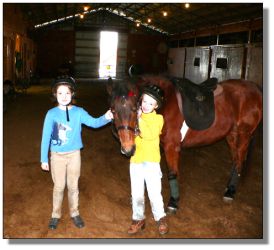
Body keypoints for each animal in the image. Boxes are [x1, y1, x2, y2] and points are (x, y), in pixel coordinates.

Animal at [106, 75, 262, 213]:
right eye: (113, 110)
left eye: (134, 109)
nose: (128, 149)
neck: (165, 103)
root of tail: (255, 88)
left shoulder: (171, 146)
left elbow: (173, 173)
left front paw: (173, 202)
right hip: (231, 135)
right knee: (236, 160)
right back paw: (230, 188)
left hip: (244, 135)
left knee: (240, 161)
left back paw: (230, 192)